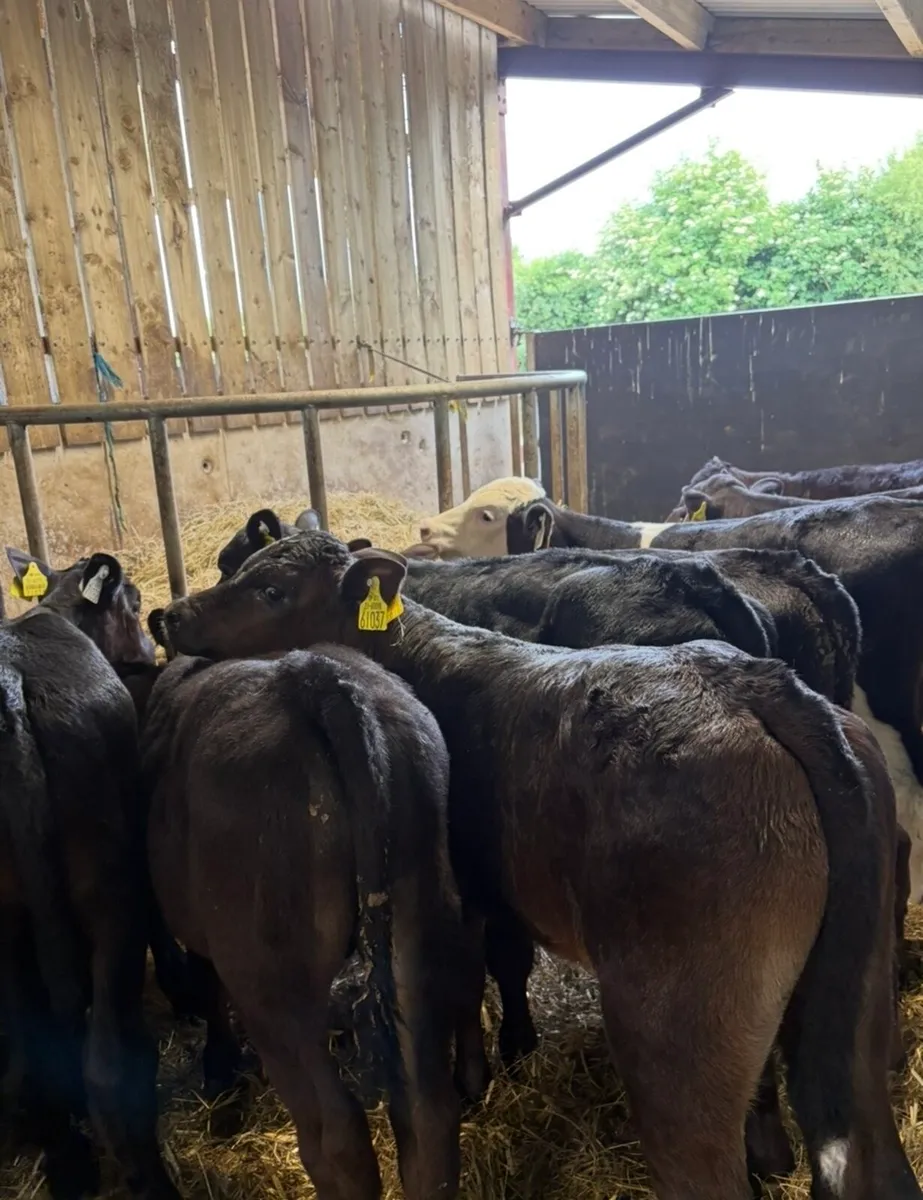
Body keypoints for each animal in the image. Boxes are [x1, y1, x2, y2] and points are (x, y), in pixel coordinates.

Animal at [140, 645, 474, 1200]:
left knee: (335, 1135)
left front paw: (221, 1074)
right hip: (420, 939)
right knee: (428, 1118)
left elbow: (208, 991)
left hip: (276, 988)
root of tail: (317, 678)